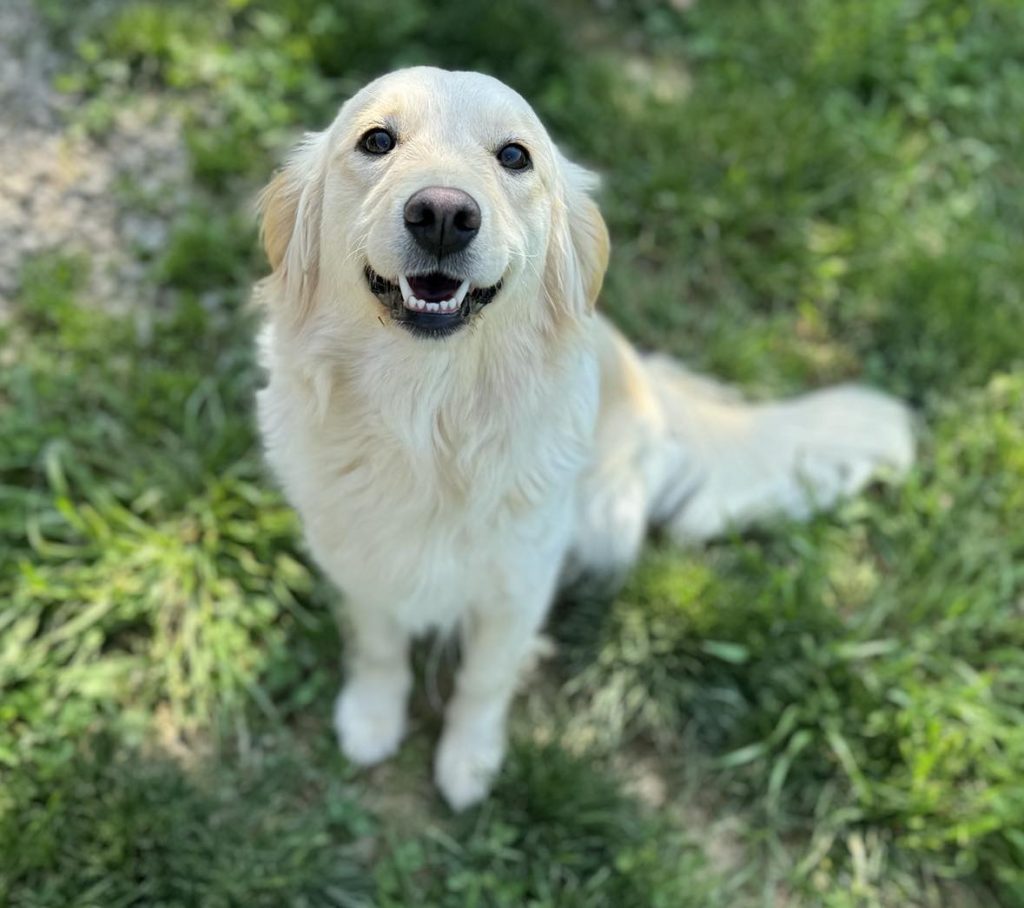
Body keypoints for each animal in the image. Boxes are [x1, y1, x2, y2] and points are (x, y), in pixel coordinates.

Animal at [253, 69, 913, 810]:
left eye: (514, 156)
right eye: (376, 141)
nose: (444, 214)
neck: (426, 415)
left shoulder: (519, 579)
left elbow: (484, 678)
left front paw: (470, 758)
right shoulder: (358, 557)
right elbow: (378, 644)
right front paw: (371, 716)